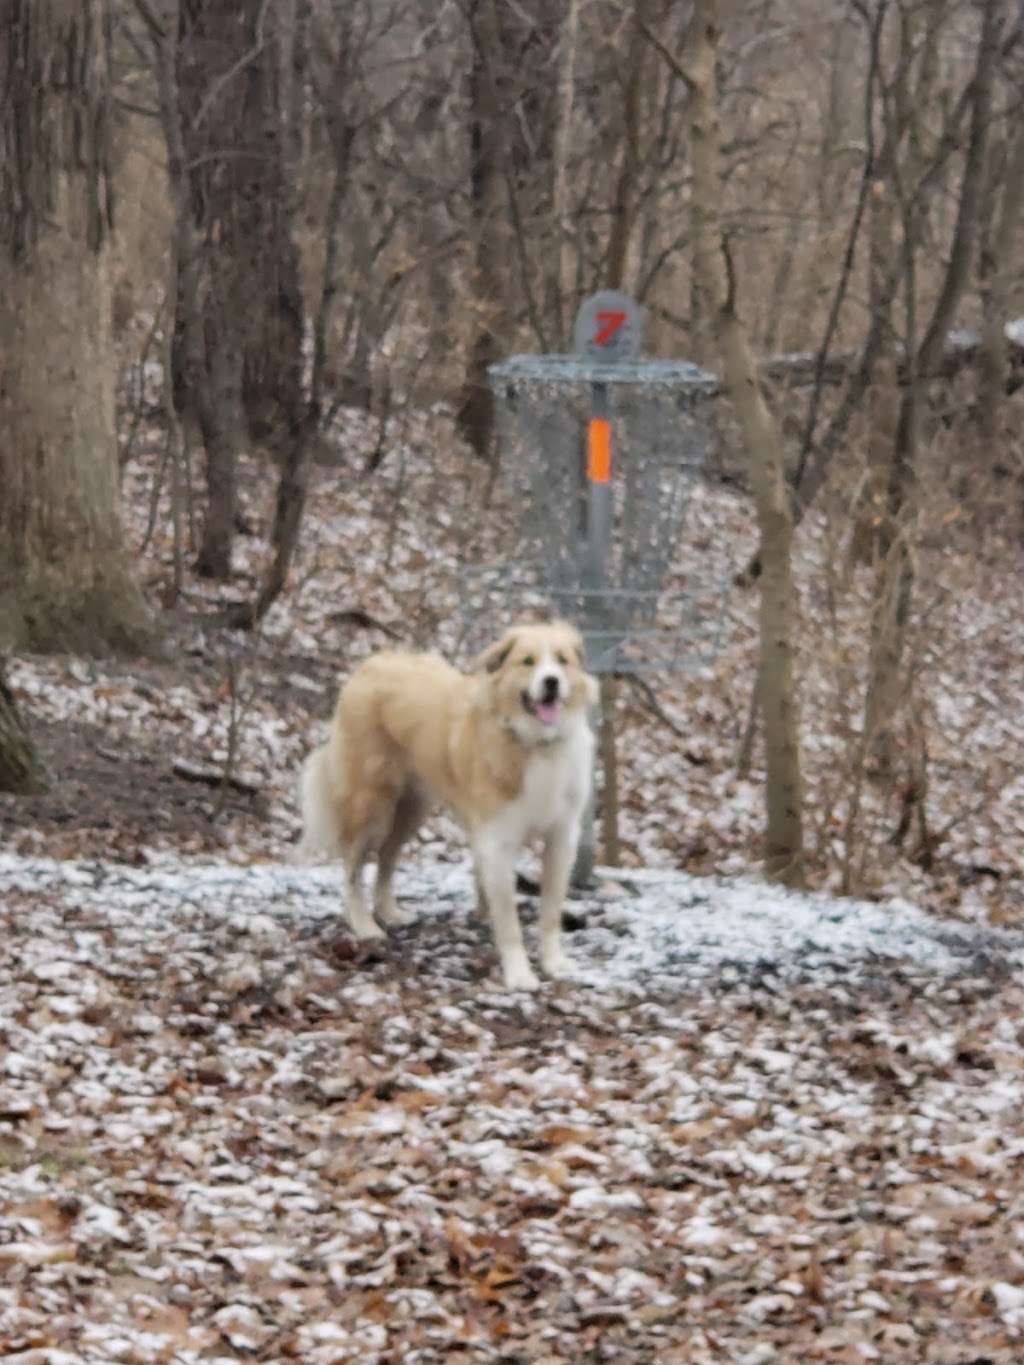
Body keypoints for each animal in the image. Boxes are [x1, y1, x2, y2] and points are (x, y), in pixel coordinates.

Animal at [296, 622, 598, 993]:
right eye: (527, 662)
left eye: (562, 660)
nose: (552, 682)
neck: (535, 744)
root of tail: (372, 664)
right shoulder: (498, 842)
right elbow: (510, 922)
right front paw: (519, 975)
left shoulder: (561, 838)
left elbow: (551, 910)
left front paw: (554, 963)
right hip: (371, 806)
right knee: (353, 867)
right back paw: (365, 925)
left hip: (412, 809)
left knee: (387, 859)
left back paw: (390, 912)